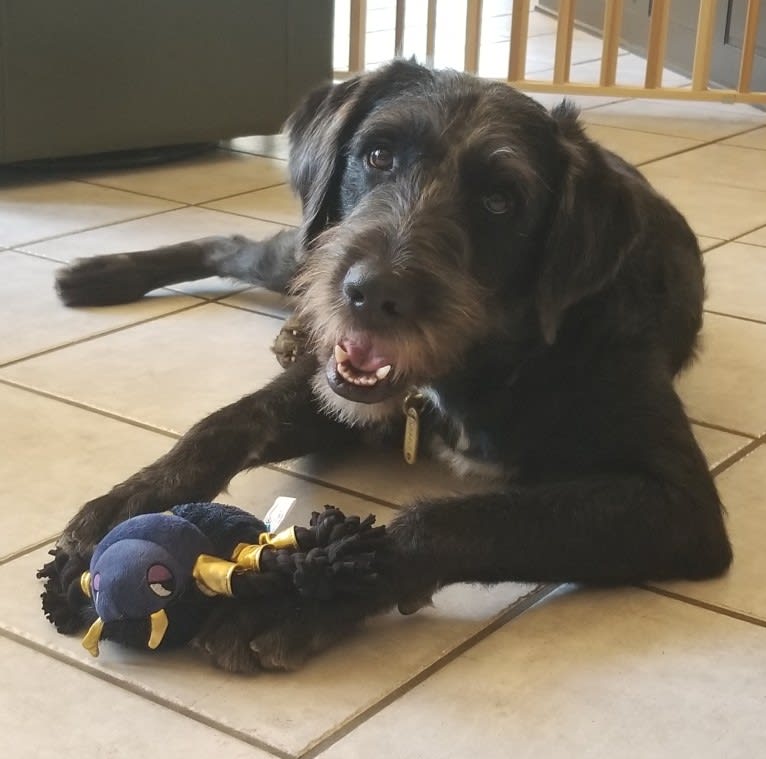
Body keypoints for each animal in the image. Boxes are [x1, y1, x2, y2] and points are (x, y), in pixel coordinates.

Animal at [52, 60, 732, 672]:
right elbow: (228, 422)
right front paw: (130, 500)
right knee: (232, 245)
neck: (493, 361)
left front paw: (308, 596)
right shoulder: (338, 391)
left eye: (500, 200)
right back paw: (100, 275)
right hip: (307, 247)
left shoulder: (675, 505)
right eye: (378, 155)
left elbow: (452, 519)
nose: (370, 293)